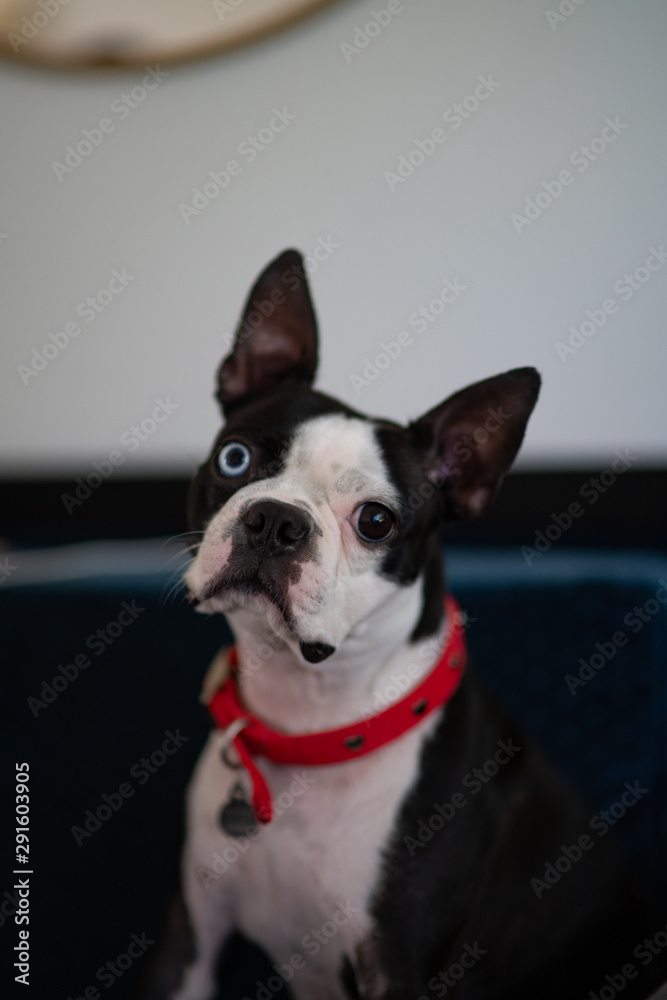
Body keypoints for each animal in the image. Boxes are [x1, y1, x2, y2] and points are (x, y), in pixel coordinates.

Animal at [137, 250, 667, 1000]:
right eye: (234, 458)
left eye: (375, 521)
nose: (274, 521)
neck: (309, 720)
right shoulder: (192, 941)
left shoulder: (396, 966)